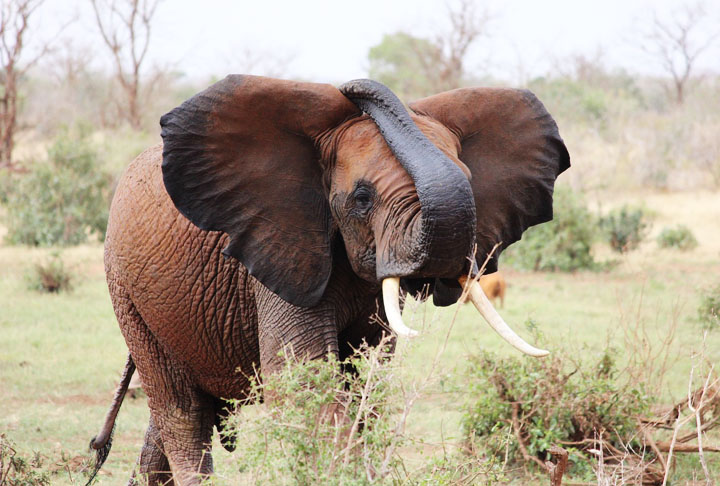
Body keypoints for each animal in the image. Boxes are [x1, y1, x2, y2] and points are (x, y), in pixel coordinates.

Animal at [86, 75, 569, 485]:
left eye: (470, 183)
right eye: (362, 198)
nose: (354, 87)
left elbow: (365, 379)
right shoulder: (282, 246)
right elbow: (305, 379)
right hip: (126, 291)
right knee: (180, 410)